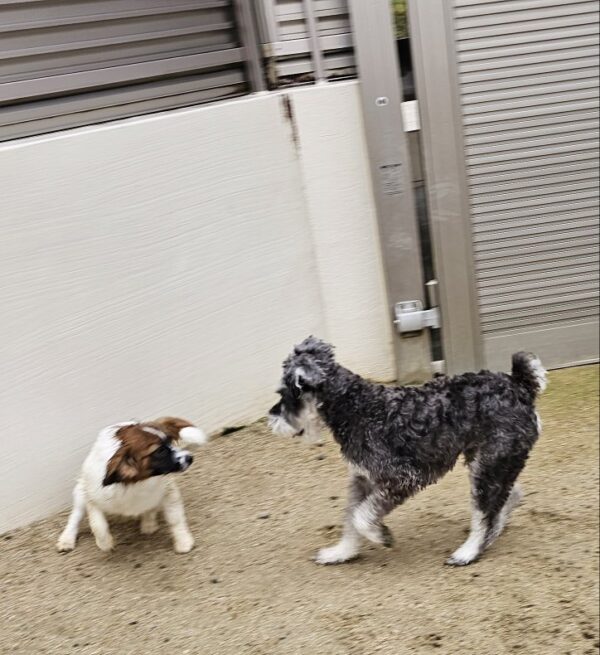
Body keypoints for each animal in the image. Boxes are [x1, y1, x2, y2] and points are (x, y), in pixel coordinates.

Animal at [56, 417, 207, 554]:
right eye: (160, 451)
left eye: (170, 441)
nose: (190, 458)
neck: (138, 483)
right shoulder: (92, 498)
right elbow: (98, 525)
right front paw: (104, 543)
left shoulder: (169, 491)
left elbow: (175, 519)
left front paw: (183, 541)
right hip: (80, 493)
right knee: (75, 517)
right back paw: (67, 539)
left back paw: (148, 522)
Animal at [268, 336, 546, 566]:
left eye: (286, 392)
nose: (271, 419)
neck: (354, 406)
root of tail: (520, 386)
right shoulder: (361, 479)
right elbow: (350, 518)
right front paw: (341, 553)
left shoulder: (401, 478)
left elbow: (361, 517)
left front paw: (381, 535)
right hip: (489, 462)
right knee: (507, 498)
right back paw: (490, 536)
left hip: (488, 466)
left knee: (485, 512)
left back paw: (468, 552)